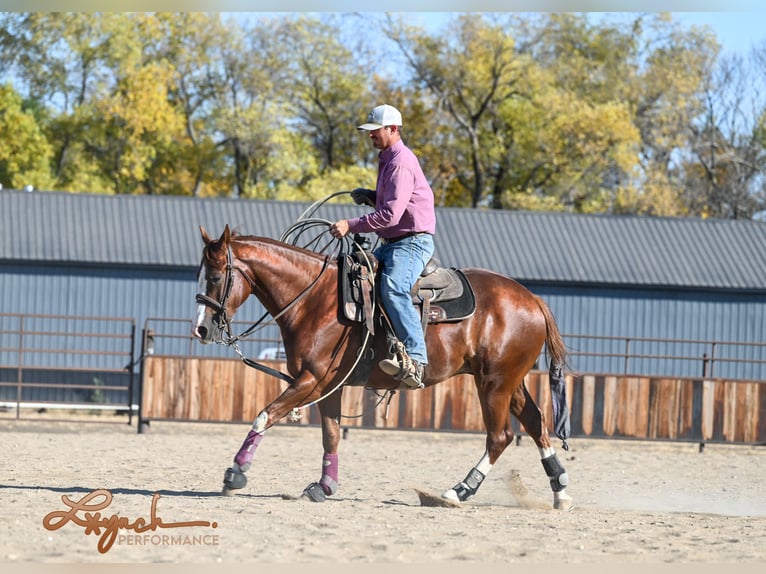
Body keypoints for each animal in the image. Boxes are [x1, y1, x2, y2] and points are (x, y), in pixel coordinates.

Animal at [195, 223, 572, 510]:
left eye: (214, 277)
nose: (201, 329)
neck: (315, 300)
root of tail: (533, 299)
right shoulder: (328, 385)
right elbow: (331, 435)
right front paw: (324, 486)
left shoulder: (310, 379)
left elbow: (265, 415)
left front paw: (235, 473)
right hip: (511, 381)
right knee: (536, 423)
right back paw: (561, 491)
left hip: (494, 383)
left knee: (500, 436)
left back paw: (458, 491)